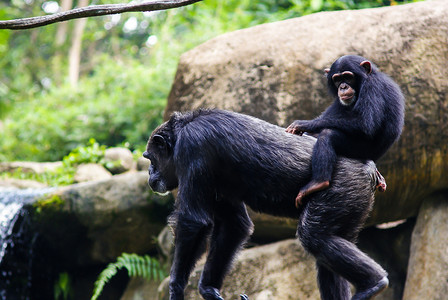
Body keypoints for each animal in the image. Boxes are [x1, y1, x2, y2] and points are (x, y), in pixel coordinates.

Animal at [144, 109, 388, 300]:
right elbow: (234, 225)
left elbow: (193, 222)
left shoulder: (193, 148)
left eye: (149, 158)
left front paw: (176, 288)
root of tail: (370, 170)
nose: (149, 172)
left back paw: (374, 284)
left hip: (340, 187)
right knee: (331, 247)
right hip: (353, 201)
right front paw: (208, 290)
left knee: (315, 237)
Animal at [288, 55, 406, 207]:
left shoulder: (372, 88)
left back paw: (318, 182)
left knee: (327, 135)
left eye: (348, 77)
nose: (343, 87)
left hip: (359, 150)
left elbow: (364, 123)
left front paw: (302, 124)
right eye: (337, 79)